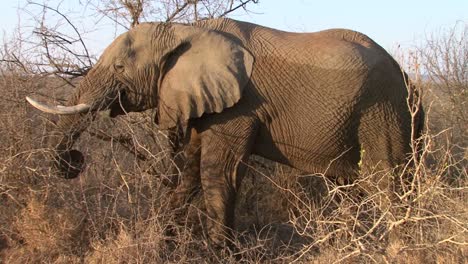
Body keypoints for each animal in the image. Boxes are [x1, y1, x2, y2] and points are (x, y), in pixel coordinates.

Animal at [25, 18, 424, 245]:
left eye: (120, 67)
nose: (75, 161)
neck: (185, 31)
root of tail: (408, 77)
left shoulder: (240, 105)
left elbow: (219, 172)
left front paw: (222, 252)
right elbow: (189, 170)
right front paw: (166, 242)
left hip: (384, 111)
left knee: (388, 182)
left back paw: (400, 247)